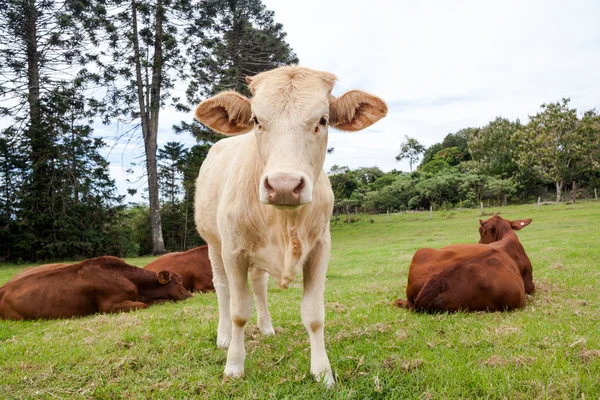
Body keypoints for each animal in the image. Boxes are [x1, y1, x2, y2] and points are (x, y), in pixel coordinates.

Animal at [394, 216, 536, 312]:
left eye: (480, 231)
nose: (479, 243)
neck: (508, 238)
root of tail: (437, 280)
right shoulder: (530, 286)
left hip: (421, 251)